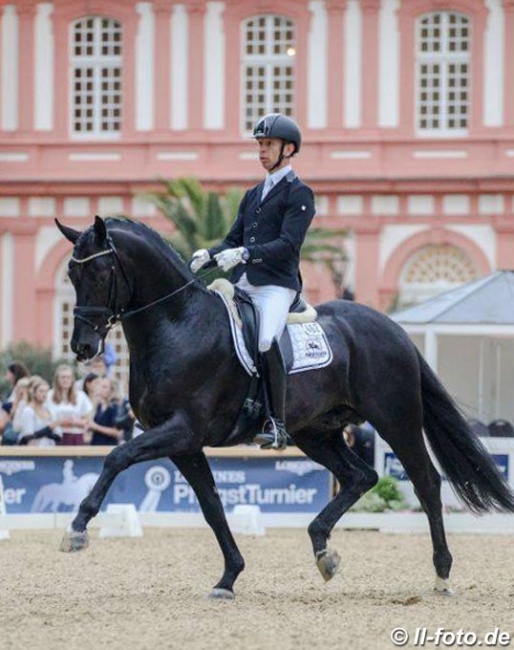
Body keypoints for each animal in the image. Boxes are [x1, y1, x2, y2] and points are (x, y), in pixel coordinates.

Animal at [56, 216, 512, 596]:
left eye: (100, 272)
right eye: (71, 274)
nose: (82, 347)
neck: (179, 324)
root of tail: (393, 328)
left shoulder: (182, 429)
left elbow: (117, 456)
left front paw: (77, 528)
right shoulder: (184, 443)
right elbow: (212, 507)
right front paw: (229, 576)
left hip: (395, 419)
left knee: (426, 483)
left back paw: (442, 573)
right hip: (317, 432)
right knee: (359, 476)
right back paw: (323, 550)